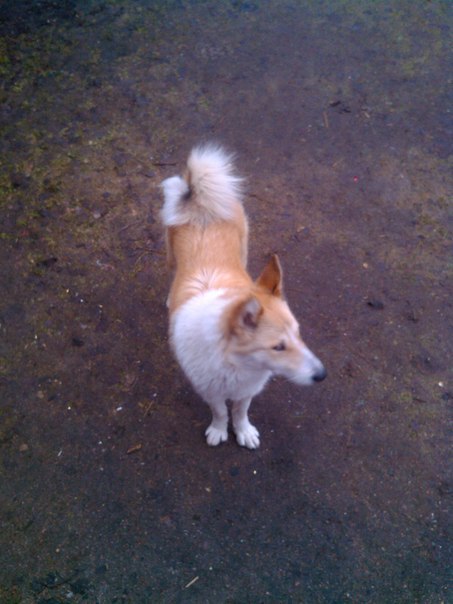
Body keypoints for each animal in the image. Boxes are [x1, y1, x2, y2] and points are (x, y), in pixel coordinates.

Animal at [160, 144, 326, 449]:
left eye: (299, 333)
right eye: (278, 347)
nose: (322, 375)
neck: (235, 363)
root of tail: (200, 201)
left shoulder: (248, 388)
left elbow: (240, 411)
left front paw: (244, 430)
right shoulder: (209, 390)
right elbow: (220, 412)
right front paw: (219, 430)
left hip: (244, 248)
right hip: (169, 254)